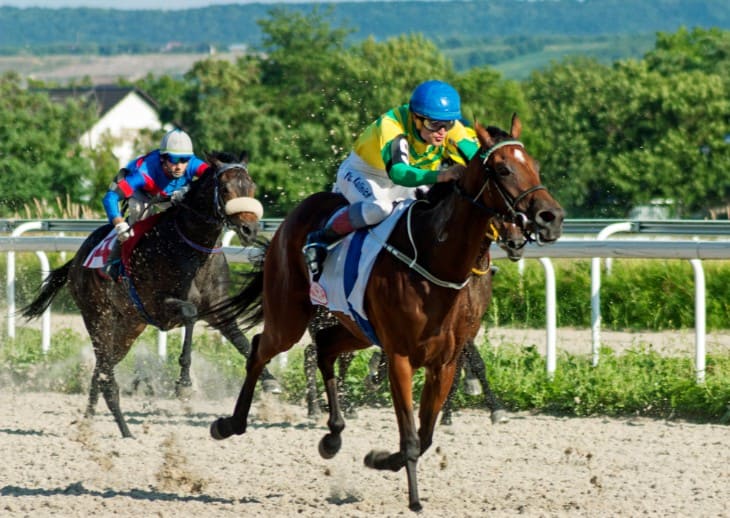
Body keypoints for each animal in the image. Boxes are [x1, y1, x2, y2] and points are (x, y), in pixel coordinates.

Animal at [21, 153, 278, 438]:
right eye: (224, 189)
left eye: (251, 187)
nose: (249, 229)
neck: (192, 248)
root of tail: (76, 260)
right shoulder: (159, 307)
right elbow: (190, 313)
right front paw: (184, 384)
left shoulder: (218, 311)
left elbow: (240, 340)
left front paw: (270, 381)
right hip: (97, 317)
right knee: (106, 374)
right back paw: (125, 432)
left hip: (128, 327)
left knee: (101, 371)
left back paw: (89, 423)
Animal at [208, 116, 560, 512]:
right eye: (502, 169)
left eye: (535, 165)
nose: (551, 217)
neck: (436, 256)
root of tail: (294, 216)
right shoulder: (400, 356)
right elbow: (411, 435)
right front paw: (414, 498)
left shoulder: (445, 359)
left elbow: (425, 434)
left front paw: (381, 459)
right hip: (289, 316)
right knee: (260, 348)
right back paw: (230, 423)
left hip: (355, 327)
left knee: (325, 349)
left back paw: (333, 435)